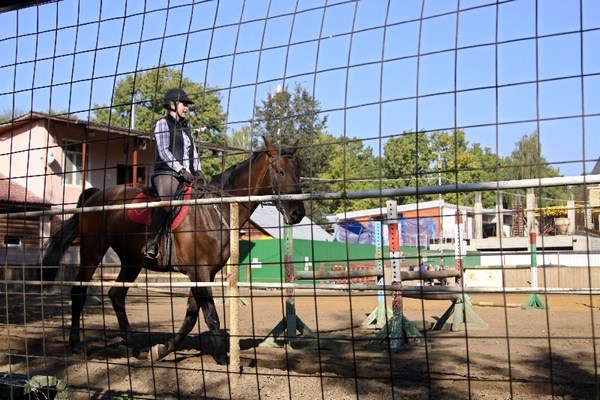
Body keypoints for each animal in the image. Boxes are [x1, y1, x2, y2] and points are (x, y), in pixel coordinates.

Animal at [40, 138, 304, 366]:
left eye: (298, 173)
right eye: (280, 172)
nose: (297, 213)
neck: (214, 209)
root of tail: (94, 196)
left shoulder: (205, 273)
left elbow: (191, 316)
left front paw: (161, 350)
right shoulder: (200, 273)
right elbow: (210, 315)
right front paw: (222, 358)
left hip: (131, 262)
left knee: (116, 295)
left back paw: (133, 346)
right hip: (93, 252)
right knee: (78, 292)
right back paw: (76, 344)